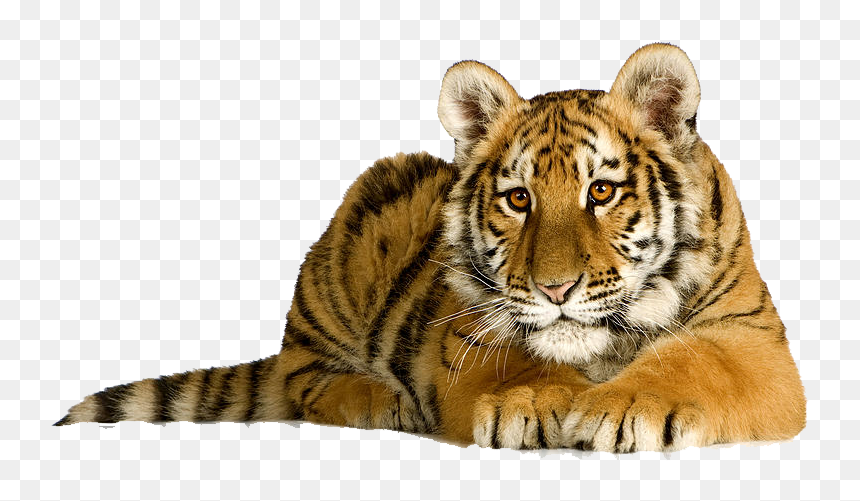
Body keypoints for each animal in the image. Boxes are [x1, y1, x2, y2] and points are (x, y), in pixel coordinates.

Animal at [56, 43, 806, 452]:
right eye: (518, 199)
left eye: (601, 191)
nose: (555, 290)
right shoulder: (464, 335)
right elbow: (516, 358)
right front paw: (538, 402)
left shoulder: (754, 341)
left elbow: (696, 360)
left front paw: (623, 406)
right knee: (301, 376)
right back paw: (377, 399)